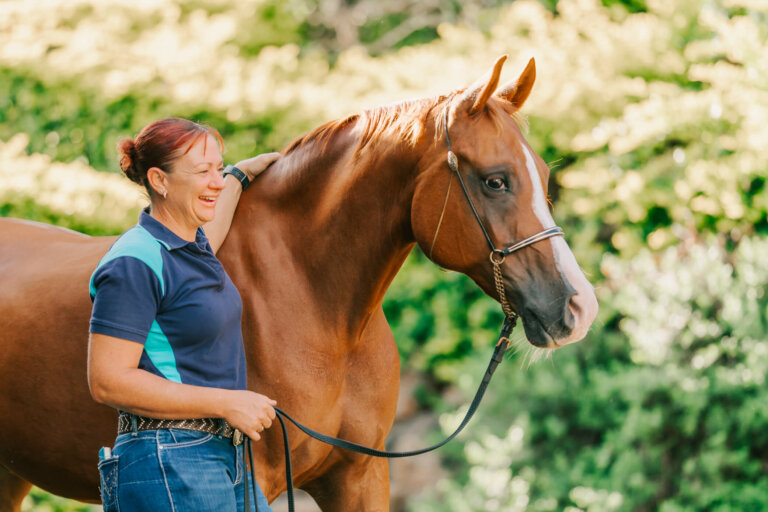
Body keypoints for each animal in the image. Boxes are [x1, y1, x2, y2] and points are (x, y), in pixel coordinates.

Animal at [0, 55, 597, 511]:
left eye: (544, 176)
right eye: (495, 181)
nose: (579, 307)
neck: (315, 303)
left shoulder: (359, 476)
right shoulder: (259, 481)